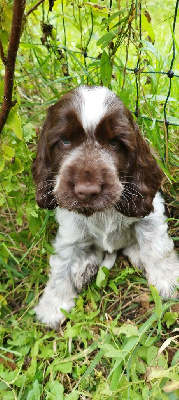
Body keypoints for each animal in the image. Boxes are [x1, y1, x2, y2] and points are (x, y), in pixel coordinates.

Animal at [31, 84, 178, 328]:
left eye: (114, 142)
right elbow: (61, 265)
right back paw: (85, 271)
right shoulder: (69, 233)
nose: (87, 190)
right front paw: (52, 305)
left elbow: (156, 247)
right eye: (64, 141)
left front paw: (168, 280)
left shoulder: (151, 213)